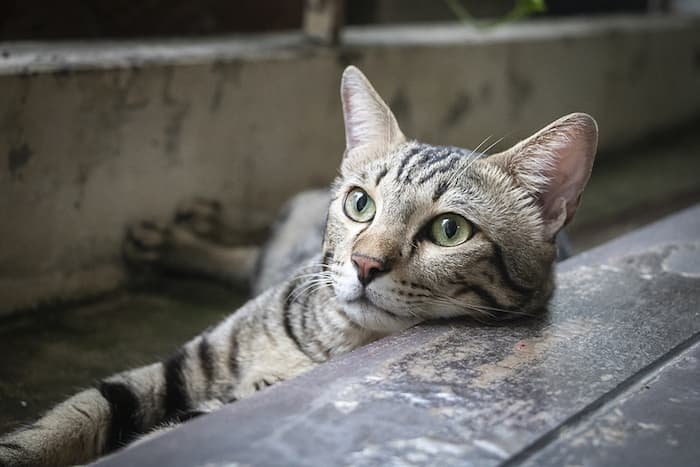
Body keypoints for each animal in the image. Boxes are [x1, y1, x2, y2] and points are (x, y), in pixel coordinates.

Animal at [0, 66, 596, 467]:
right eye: (360, 203)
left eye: (450, 231)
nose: (364, 262)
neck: (331, 342)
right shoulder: (187, 364)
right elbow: (74, 415)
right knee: (252, 251)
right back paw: (183, 234)